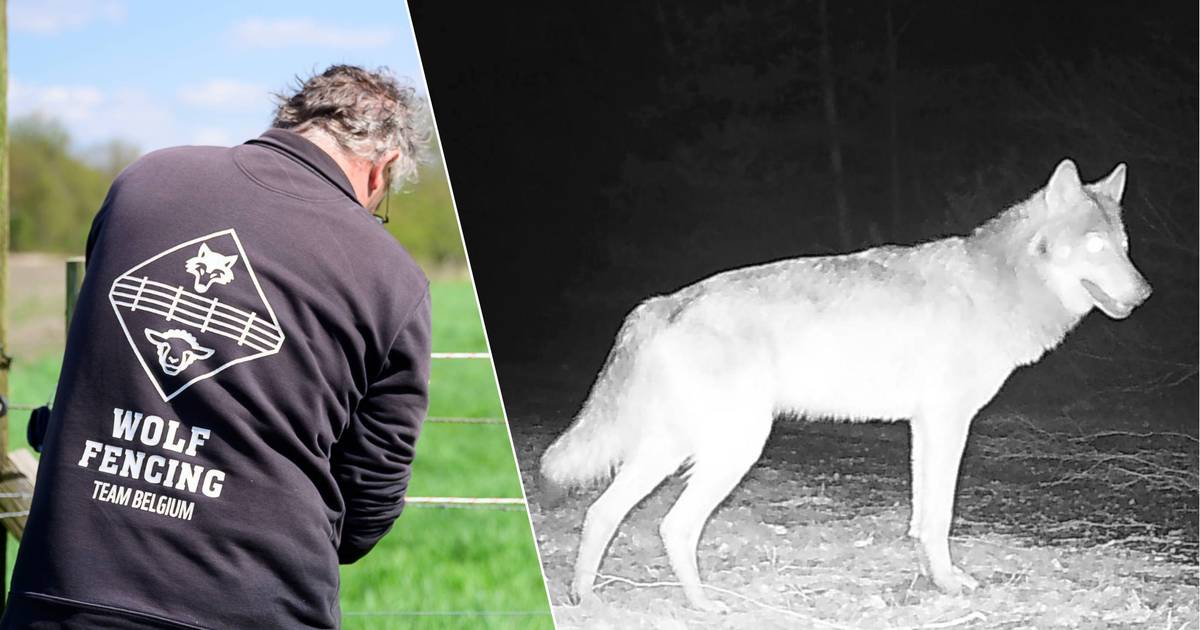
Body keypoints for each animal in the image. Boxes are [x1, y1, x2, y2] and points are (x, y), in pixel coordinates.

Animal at [542, 159, 1152, 612]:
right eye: (1096, 247)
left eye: (1123, 245)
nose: (1145, 293)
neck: (999, 289)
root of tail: (663, 303)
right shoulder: (948, 421)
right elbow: (940, 517)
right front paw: (949, 586)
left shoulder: (925, 426)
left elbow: (922, 518)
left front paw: (934, 578)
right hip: (733, 450)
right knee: (673, 525)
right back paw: (703, 606)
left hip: (674, 451)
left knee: (602, 513)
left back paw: (585, 599)